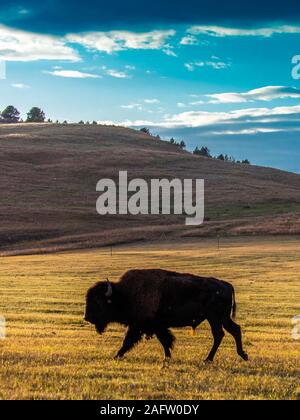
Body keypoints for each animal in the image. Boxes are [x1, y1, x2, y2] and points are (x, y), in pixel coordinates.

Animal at [84, 270, 248, 362]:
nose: (87, 317)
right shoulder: (157, 327)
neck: (124, 294)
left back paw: (208, 359)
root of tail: (226, 285)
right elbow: (164, 340)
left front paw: (116, 355)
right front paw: (167, 356)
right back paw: (243, 355)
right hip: (222, 318)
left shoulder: (139, 326)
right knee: (234, 330)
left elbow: (128, 341)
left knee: (219, 334)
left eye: (98, 301)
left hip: (214, 317)